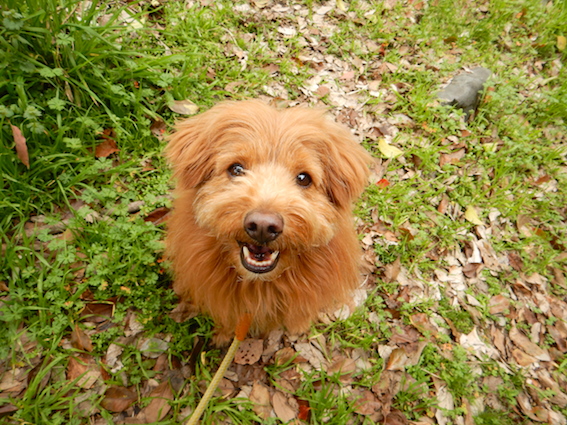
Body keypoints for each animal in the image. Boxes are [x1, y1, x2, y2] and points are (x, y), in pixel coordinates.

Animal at [165, 101, 372, 346]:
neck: (259, 286)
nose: (263, 226)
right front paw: (223, 335)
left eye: (304, 178)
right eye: (236, 169)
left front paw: (298, 327)